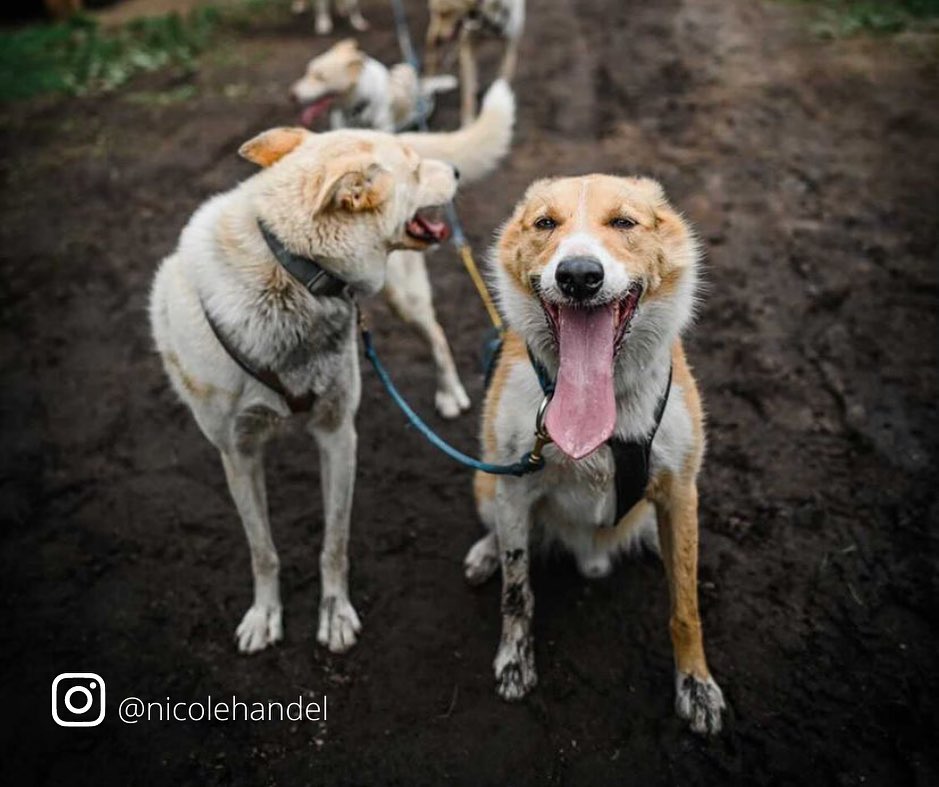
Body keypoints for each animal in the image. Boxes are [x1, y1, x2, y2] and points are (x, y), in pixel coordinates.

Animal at [149, 109, 516, 660]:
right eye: (413, 169)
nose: (452, 171)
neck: (291, 270)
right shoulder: (237, 453)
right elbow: (262, 549)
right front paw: (265, 615)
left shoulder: (339, 435)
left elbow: (334, 543)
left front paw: (335, 614)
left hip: (405, 301)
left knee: (436, 334)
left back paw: (450, 391)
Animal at [470, 175, 728, 736]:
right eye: (545, 223)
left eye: (624, 222)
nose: (579, 276)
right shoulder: (515, 487)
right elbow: (517, 591)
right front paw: (515, 663)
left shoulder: (680, 490)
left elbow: (685, 607)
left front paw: (696, 685)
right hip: (487, 484)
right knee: (500, 534)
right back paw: (486, 552)